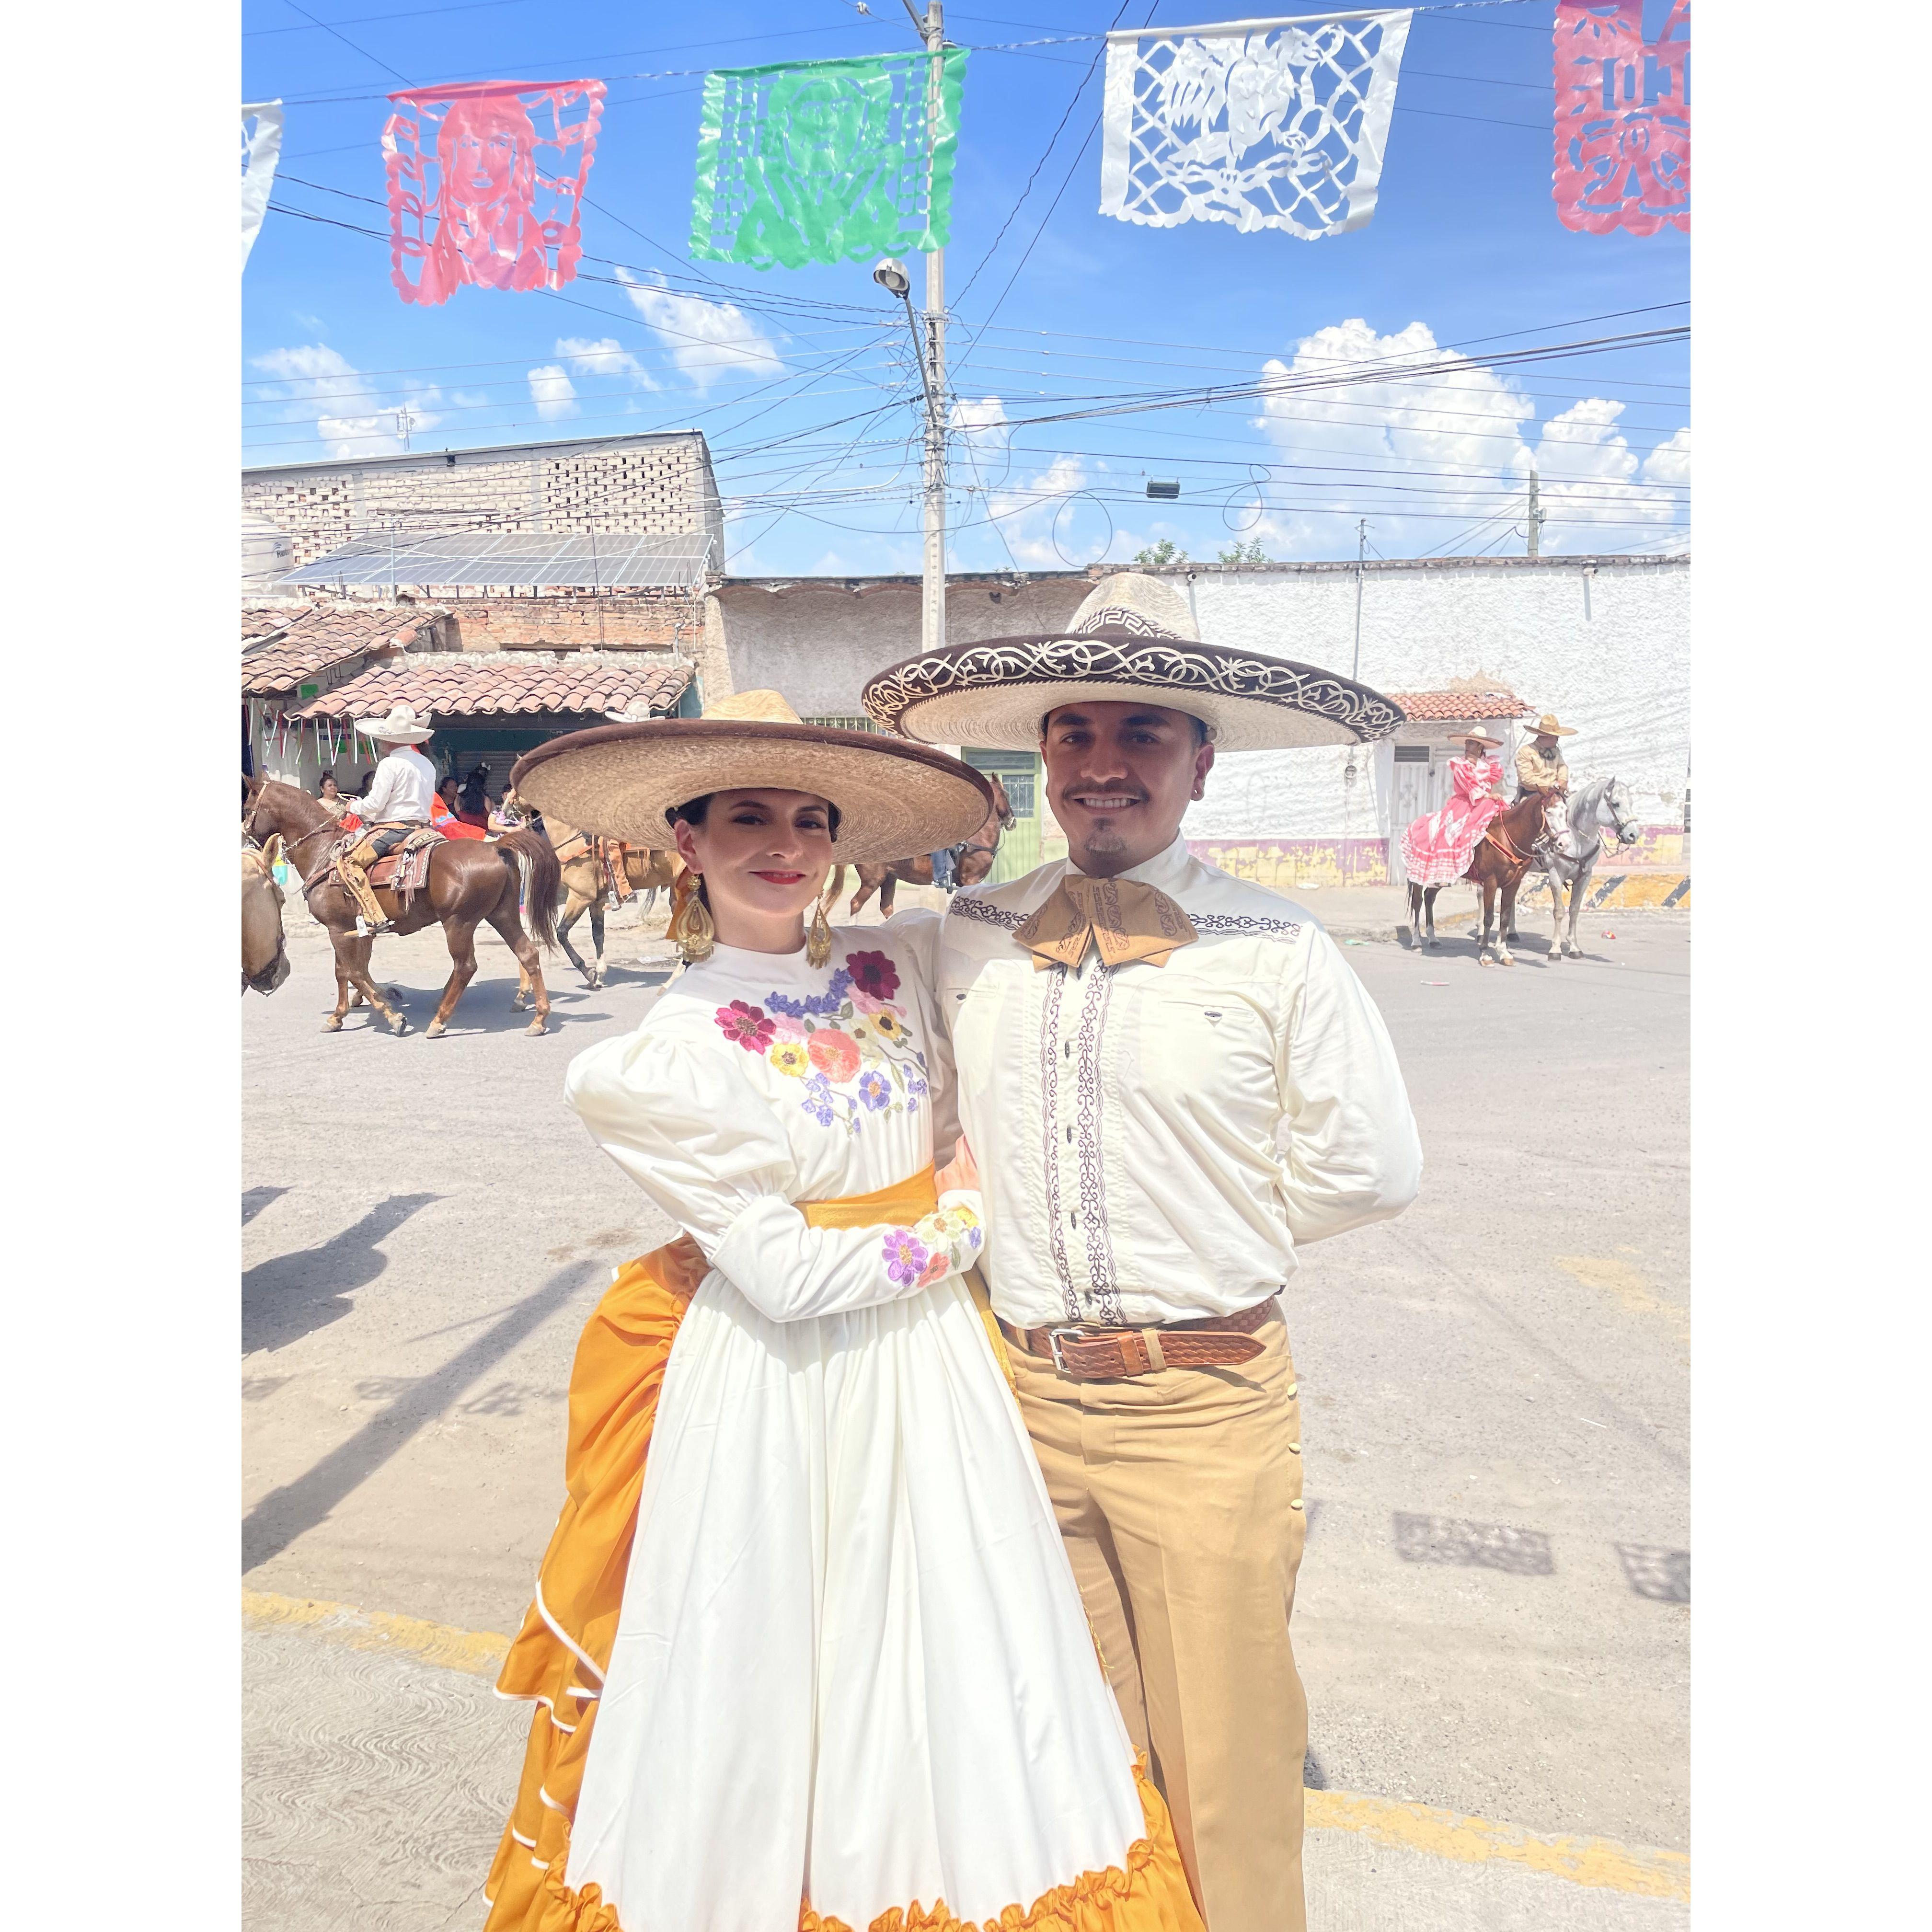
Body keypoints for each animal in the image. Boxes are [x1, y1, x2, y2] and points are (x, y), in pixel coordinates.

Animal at [239, 772, 560, 1035]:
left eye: (246, 808)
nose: (244, 838)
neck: (323, 853)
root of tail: (495, 848)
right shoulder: (357, 929)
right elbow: (353, 969)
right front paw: (348, 1011)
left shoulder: (337, 929)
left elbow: (350, 971)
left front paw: (388, 1015)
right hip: (503, 914)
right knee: (528, 953)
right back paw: (538, 1018)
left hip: (459, 922)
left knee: (466, 966)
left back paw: (440, 1020)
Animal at [823, 769, 1020, 920]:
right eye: (1006, 794)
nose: (1013, 821)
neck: (975, 841)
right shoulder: (970, 881)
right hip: (873, 881)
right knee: (856, 904)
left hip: (889, 878)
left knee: (886, 908)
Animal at [1406, 788, 1568, 962]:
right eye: (1549, 812)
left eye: (1565, 811)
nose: (1564, 844)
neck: (1508, 838)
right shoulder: (1491, 881)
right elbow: (1489, 918)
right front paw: (1485, 953)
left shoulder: (1514, 883)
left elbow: (1504, 917)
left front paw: (1503, 952)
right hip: (1419, 875)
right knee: (1418, 902)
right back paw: (1416, 942)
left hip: (1441, 877)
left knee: (1429, 897)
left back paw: (1433, 939)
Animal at [1515, 765, 1638, 954]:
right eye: (1616, 804)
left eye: (1631, 803)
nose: (1633, 835)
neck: (1575, 837)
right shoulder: (1556, 875)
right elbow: (1559, 911)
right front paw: (1555, 948)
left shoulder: (1584, 877)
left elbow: (1574, 909)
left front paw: (1574, 947)